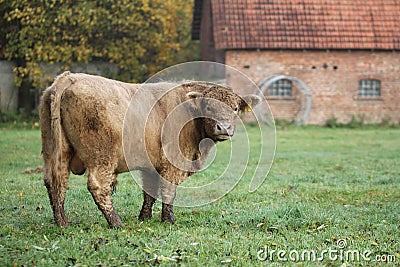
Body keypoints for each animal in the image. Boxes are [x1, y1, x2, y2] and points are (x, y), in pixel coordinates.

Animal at [39, 71, 260, 228]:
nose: (224, 128)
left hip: (55, 150)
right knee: (97, 186)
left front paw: (144, 217)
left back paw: (62, 223)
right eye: (208, 107)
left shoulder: (151, 165)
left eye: (235, 108)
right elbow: (168, 192)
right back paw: (116, 222)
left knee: (56, 181)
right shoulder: (172, 162)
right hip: (101, 155)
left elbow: (149, 193)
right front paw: (168, 220)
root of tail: (69, 78)